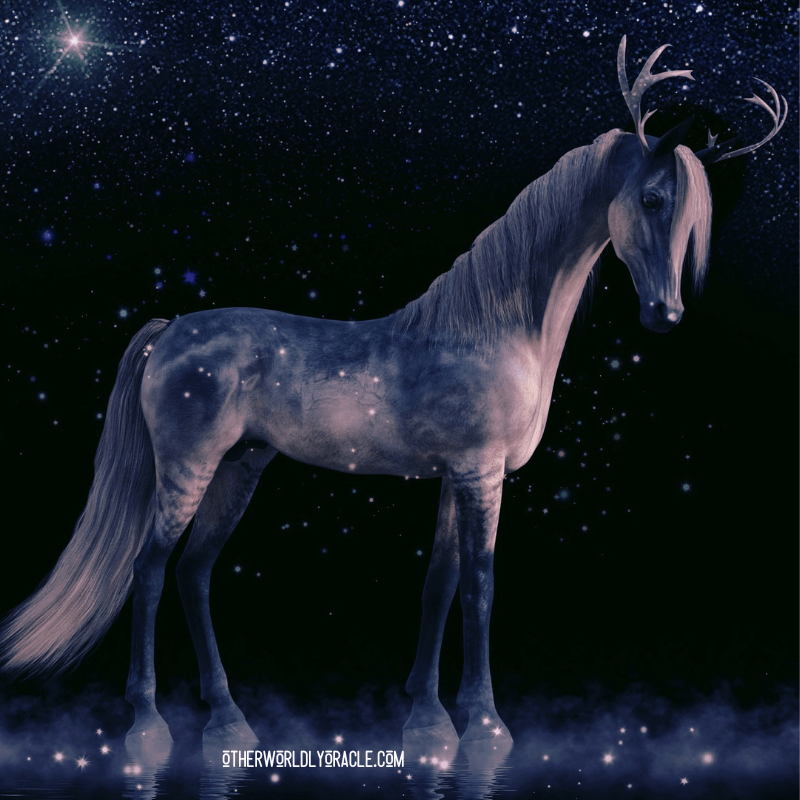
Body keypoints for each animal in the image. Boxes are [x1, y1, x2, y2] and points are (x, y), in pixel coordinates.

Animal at [0, 37, 785, 749]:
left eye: (691, 222)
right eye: (651, 199)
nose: (666, 315)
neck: (492, 328)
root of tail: (172, 331)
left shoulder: (456, 477)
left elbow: (439, 583)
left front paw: (427, 716)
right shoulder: (481, 474)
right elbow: (481, 585)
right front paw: (486, 724)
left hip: (239, 467)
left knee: (194, 573)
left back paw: (229, 720)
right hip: (189, 468)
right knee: (152, 569)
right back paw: (148, 724)